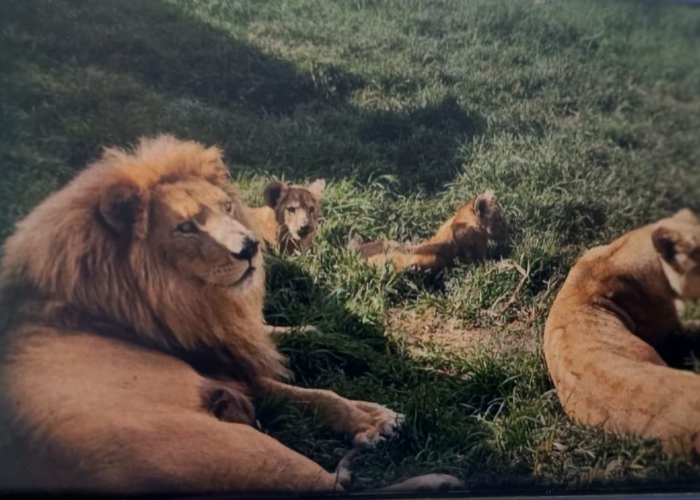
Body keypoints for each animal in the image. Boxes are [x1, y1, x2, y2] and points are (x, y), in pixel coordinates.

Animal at [0, 135, 460, 493]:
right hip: (241, 452)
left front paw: (376, 416)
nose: (251, 248)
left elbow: (317, 393)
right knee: (334, 487)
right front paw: (373, 421)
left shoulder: (223, 362)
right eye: (186, 227)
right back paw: (438, 482)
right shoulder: (221, 364)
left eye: (226, 207)